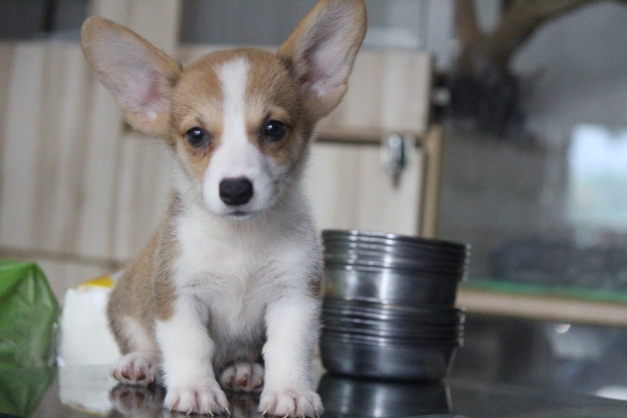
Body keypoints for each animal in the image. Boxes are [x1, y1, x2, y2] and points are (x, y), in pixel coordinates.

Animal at [80, 0, 366, 416]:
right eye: (196, 135)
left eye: (274, 129)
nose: (235, 189)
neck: (239, 241)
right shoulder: (179, 296)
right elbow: (189, 344)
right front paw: (196, 389)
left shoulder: (295, 295)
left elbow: (288, 348)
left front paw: (290, 392)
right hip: (128, 301)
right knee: (146, 343)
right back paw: (142, 362)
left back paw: (243, 369)